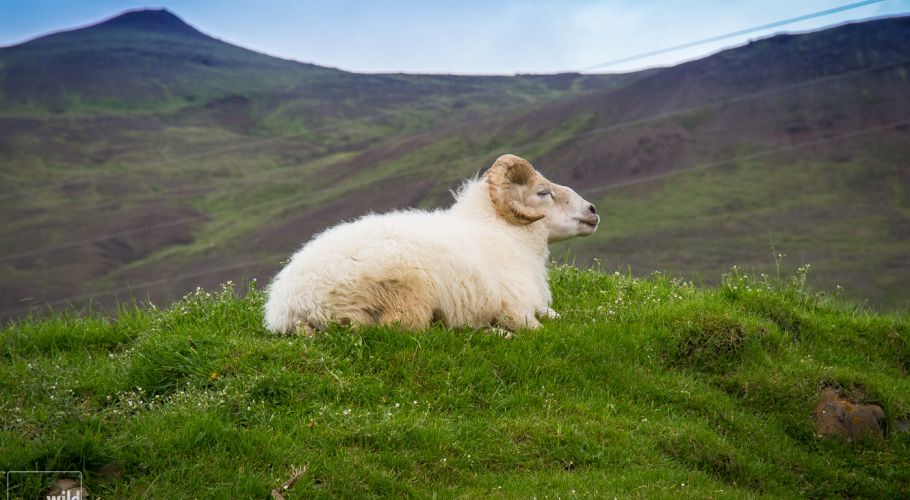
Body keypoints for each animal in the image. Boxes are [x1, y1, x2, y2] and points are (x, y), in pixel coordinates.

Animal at [266, 154, 600, 334]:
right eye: (544, 192)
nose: (592, 210)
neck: (508, 235)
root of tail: (290, 306)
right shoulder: (516, 309)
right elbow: (539, 328)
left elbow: (559, 315)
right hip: (406, 294)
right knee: (417, 330)